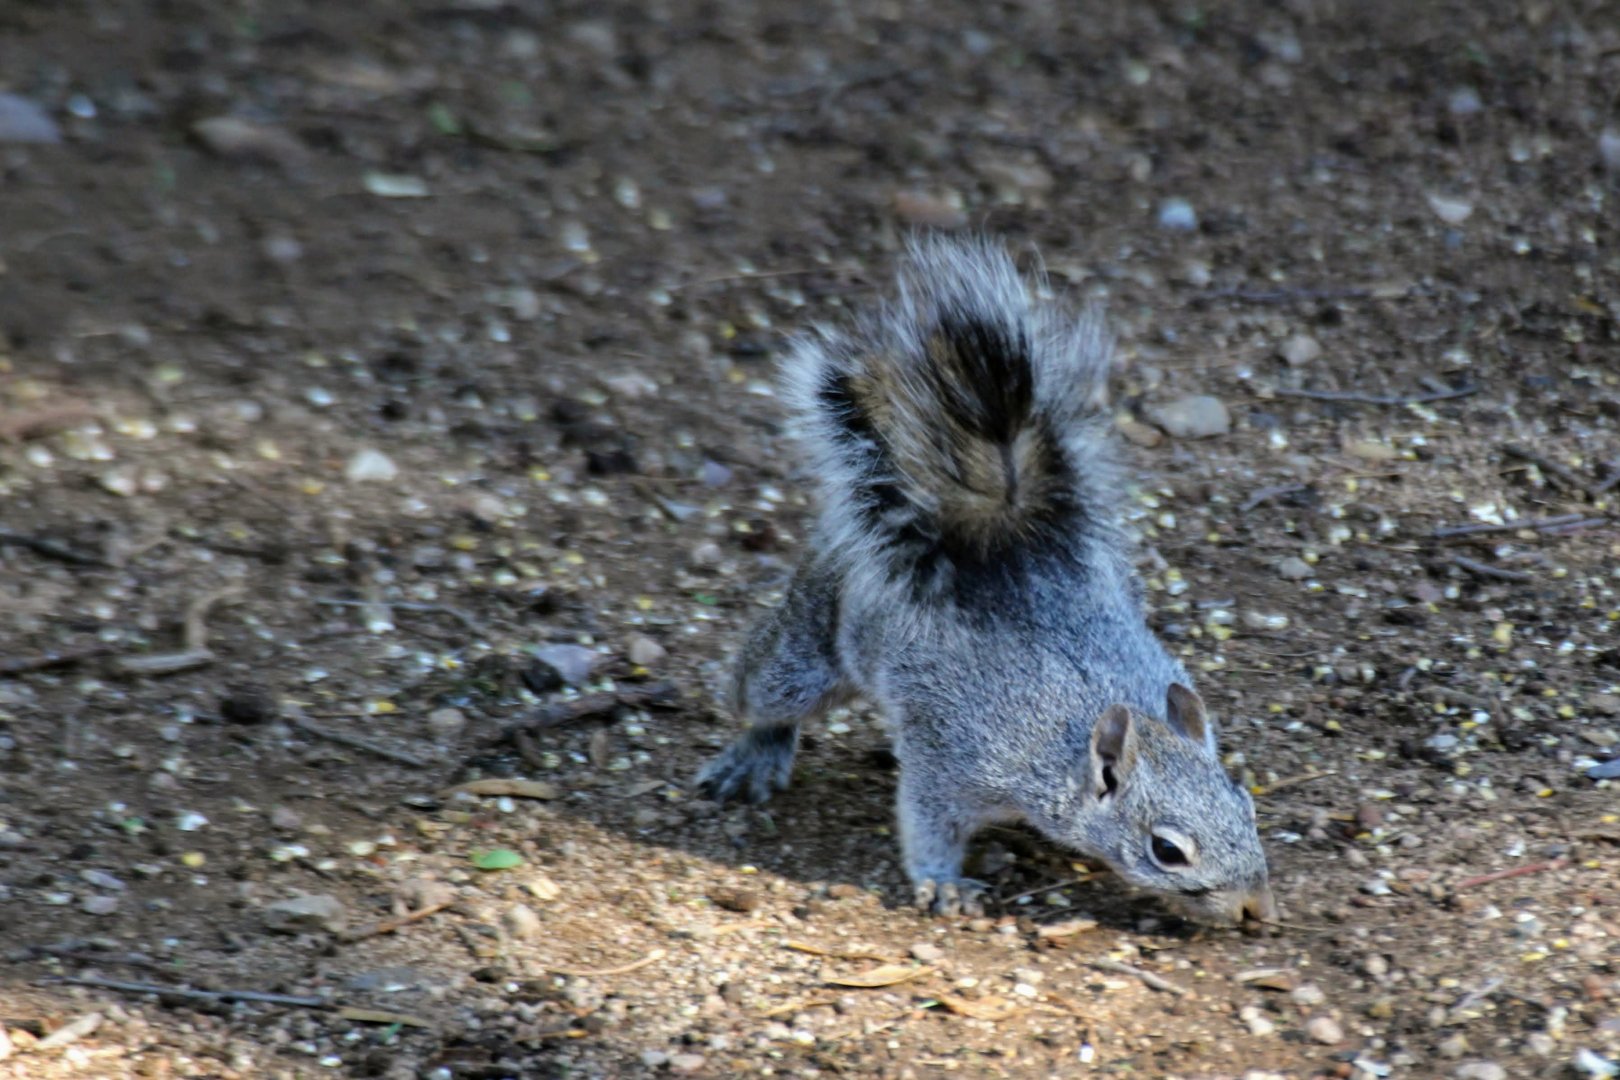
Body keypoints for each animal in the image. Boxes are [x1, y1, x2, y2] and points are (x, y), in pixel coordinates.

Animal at [695, 235, 1276, 925]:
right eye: (1167, 850)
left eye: (1246, 802)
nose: (1256, 908)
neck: (1072, 737)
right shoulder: (950, 761)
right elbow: (928, 824)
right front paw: (943, 883)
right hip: (808, 641)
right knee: (762, 691)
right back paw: (754, 754)